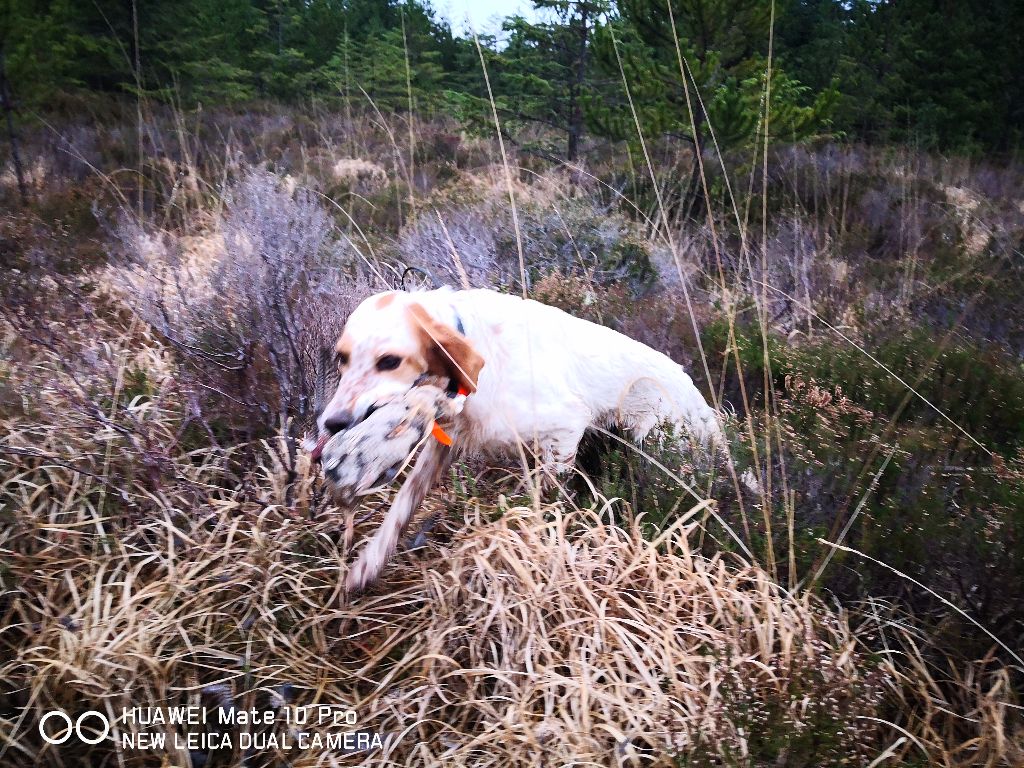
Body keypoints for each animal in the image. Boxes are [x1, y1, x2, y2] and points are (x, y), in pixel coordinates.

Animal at [315, 286, 724, 593]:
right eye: (341, 357)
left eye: (389, 361)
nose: (332, 423)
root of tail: (702, 403)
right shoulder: (442, 446)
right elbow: (401, 506)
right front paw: (368, 563)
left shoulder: (563, 431)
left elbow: (542, 504)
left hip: (655, 448)